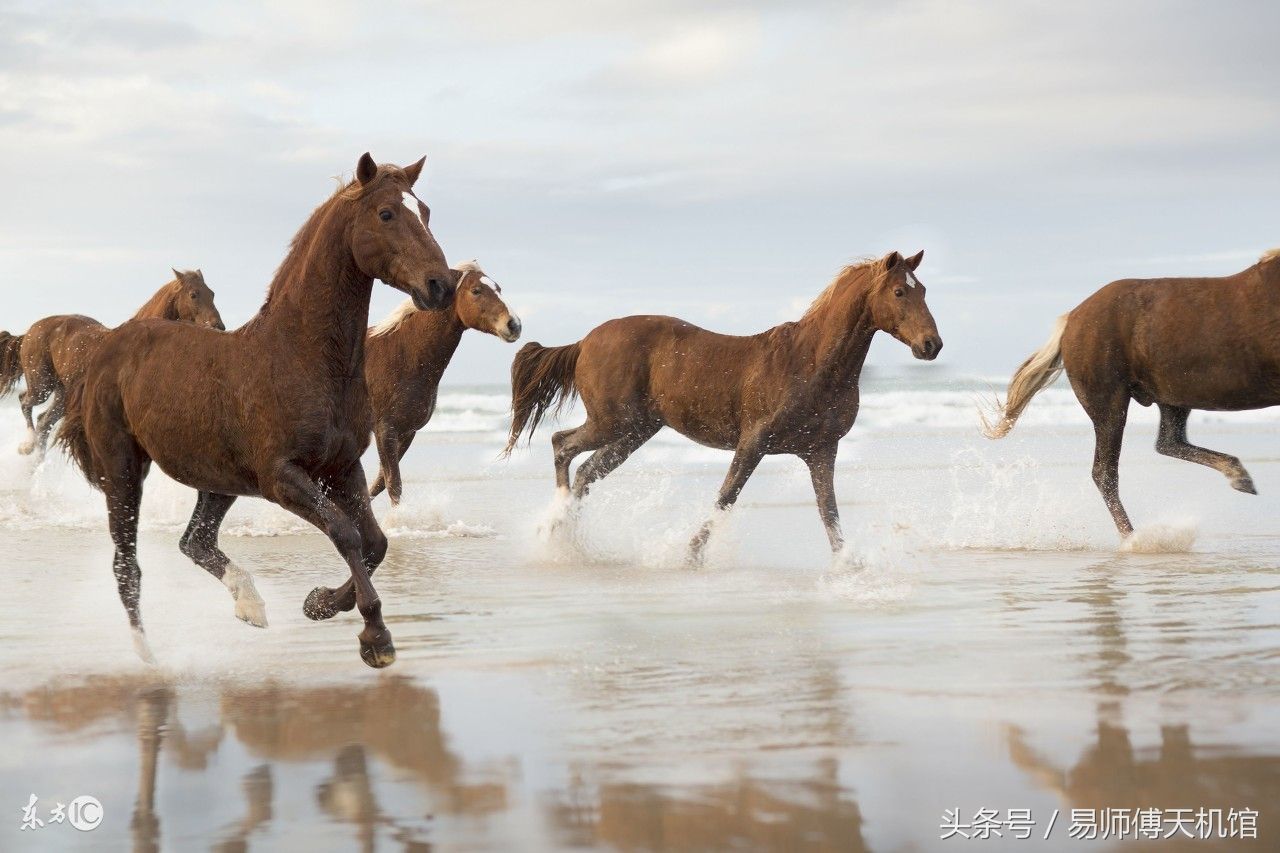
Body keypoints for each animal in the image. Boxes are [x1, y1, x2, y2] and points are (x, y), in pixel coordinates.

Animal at [0, 272, 222, 458]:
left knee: (43, 422)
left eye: (212, 293)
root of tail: (30, 331)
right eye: (193, 294)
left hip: (63, 394)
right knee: (24, 402)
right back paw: (26, 447)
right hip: (42, 385)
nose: (219, 326)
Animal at [56, 156, 455, 666]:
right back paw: (149, 656)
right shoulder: (281, 478)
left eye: (424, 211)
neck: (300, 356)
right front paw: (375, 637)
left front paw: (320, 603)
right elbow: (345, 532)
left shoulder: (342, 467)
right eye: (386, 213)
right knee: (127, 564)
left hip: (218, 479)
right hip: (123, 470)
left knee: (195, 541)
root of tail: (106, 346)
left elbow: (376, 543)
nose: (440, 286)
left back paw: (251, 606)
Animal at [366, 256, 519, 502]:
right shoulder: (385, 429)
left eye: (499, 288)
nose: (514, 324)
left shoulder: (406, 432)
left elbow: (379, 484)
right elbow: (392, 484)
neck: (401, 353)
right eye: (476, 290)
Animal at [506, 249, 942, 560]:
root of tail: (584, 341)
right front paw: (691, 555)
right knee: (563, 446)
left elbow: (828, 511)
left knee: (587, 471)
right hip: (612, 423)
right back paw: (554, 528)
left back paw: (565, 534)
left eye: (922, 290)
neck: (811, 362)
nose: (931, 345)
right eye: (899, 291)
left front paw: (848, 564)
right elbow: (726, 496)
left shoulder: (821, 450)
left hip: (634, 432)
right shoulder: (754, 442)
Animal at [983, 245, 1274, 537]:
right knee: (1106, 472)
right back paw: (1132, 538)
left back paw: (1239, 477)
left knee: (1168, 441)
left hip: (1172, 396)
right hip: (1110, 405)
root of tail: (1071, 318)